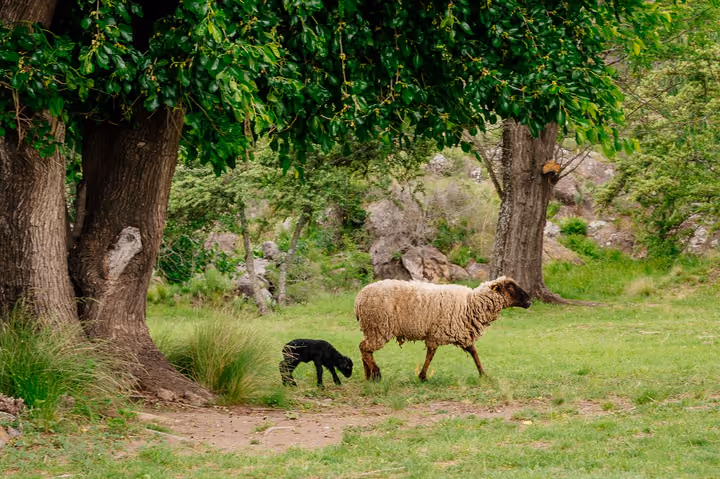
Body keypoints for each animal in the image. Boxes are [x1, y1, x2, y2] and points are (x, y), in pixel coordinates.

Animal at [355, 276, 531, 381]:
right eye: (511, 287)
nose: (529, 300)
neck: (471, 304)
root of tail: (358, 299)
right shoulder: (436, 333)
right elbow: (430, 355)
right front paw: (423, 376)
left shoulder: (463, 333)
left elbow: (474, 352)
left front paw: (483, 374)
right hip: (378, 327)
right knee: (364, 348)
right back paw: (375, 373)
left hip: (372, 328)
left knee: (364, 349)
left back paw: (368, 376)